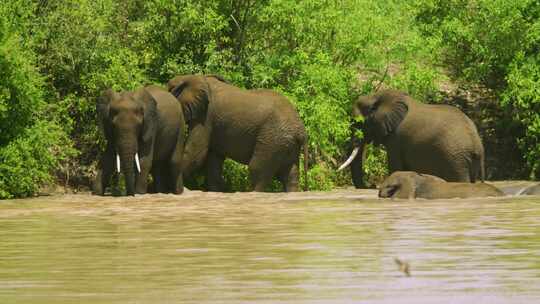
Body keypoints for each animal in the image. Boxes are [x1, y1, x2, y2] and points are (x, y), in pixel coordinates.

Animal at [165, 74, 308, 191]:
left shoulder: (206, 115)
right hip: (287, 144)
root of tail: (302, 131)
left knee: (257, 169)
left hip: (273, 139)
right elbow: (213, 160)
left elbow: (196, 152)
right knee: (290, 176)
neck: (191, 77)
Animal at [338, 88, 486, 188]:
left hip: (456, 159)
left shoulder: (396, 138)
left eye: (358, 123)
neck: (377, 96)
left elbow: (396, 166)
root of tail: (477, 145)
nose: (372, 186)